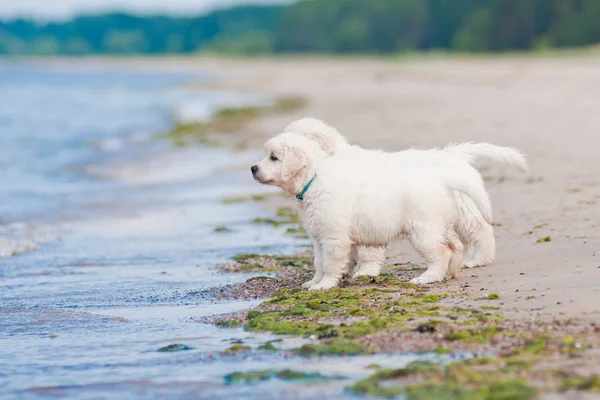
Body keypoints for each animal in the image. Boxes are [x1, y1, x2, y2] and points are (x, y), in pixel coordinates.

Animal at [251, 133, 504, 290]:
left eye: (274, 157)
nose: (253, 168)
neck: (314, 179)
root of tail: (442, 178)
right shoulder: (319, 237)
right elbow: (319, 263)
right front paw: (314, 282)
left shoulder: (333, 238)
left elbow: (331, 264)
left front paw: (324, 285)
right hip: (439, 224)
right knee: (455, 245)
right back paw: (451, 273)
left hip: (423, 230)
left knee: (441, 252)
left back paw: (428, 278)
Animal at [284, 117, 528, 276]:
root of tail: (454, 155)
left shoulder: (371, 215)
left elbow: (368, 250)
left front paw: (364, 272)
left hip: (461, 208)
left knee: (481, 231)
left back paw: (478, 260)